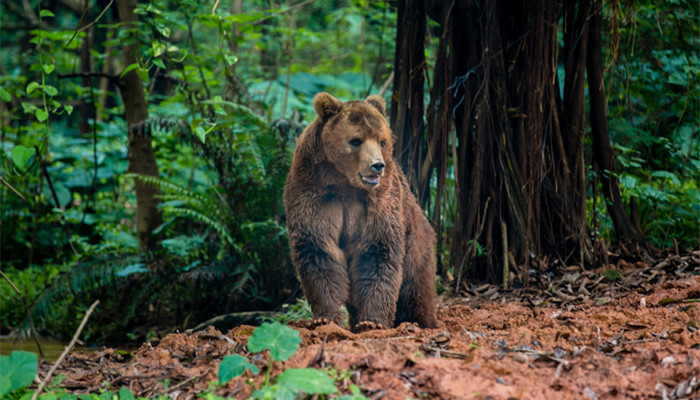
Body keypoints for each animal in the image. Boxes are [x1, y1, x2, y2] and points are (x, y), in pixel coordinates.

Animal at [284, 92, 438, 332]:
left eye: (382, 141)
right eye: (356, 140)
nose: (377, 165)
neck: (344, 182)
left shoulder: (378, 200)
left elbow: (377, 250)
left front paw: (372, 321)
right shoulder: (313, 192)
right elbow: (318, 248)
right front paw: (324, 318)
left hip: (416, 241)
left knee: (415, 286)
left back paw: (417, 320)